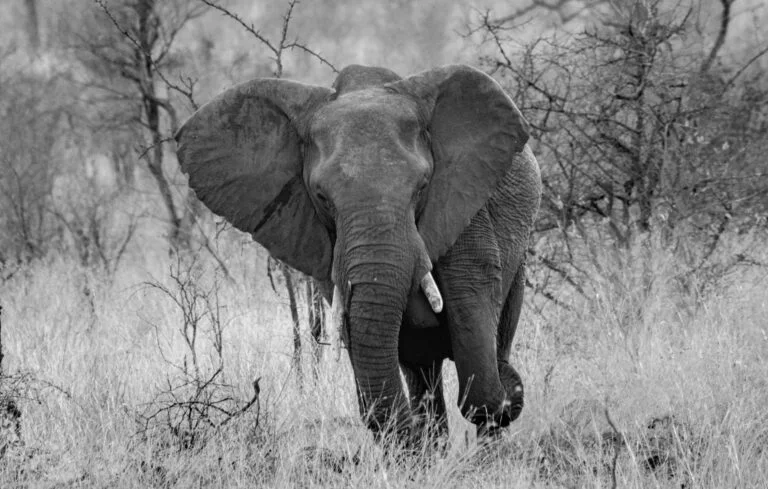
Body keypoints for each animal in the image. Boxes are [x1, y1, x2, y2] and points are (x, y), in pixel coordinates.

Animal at [174, 64, 542, 443]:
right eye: (322, 197)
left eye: (422, 187)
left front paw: (497, 409)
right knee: (421, 370)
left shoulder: (463, 202)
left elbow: (474, 317)